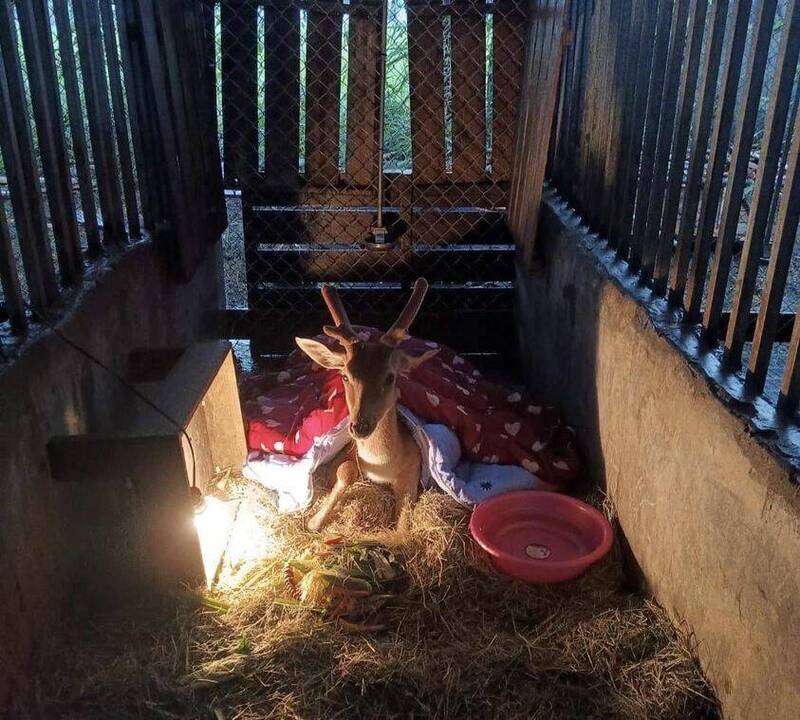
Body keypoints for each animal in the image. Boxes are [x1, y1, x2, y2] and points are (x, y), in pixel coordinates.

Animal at [296, 278, 440, 532]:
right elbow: (345, 470)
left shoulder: (413, 472)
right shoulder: (346, 454)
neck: (383, 467)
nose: (360, 427)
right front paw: (315, 521)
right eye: (345, 376)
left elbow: (402, 528)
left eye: (390, 377)